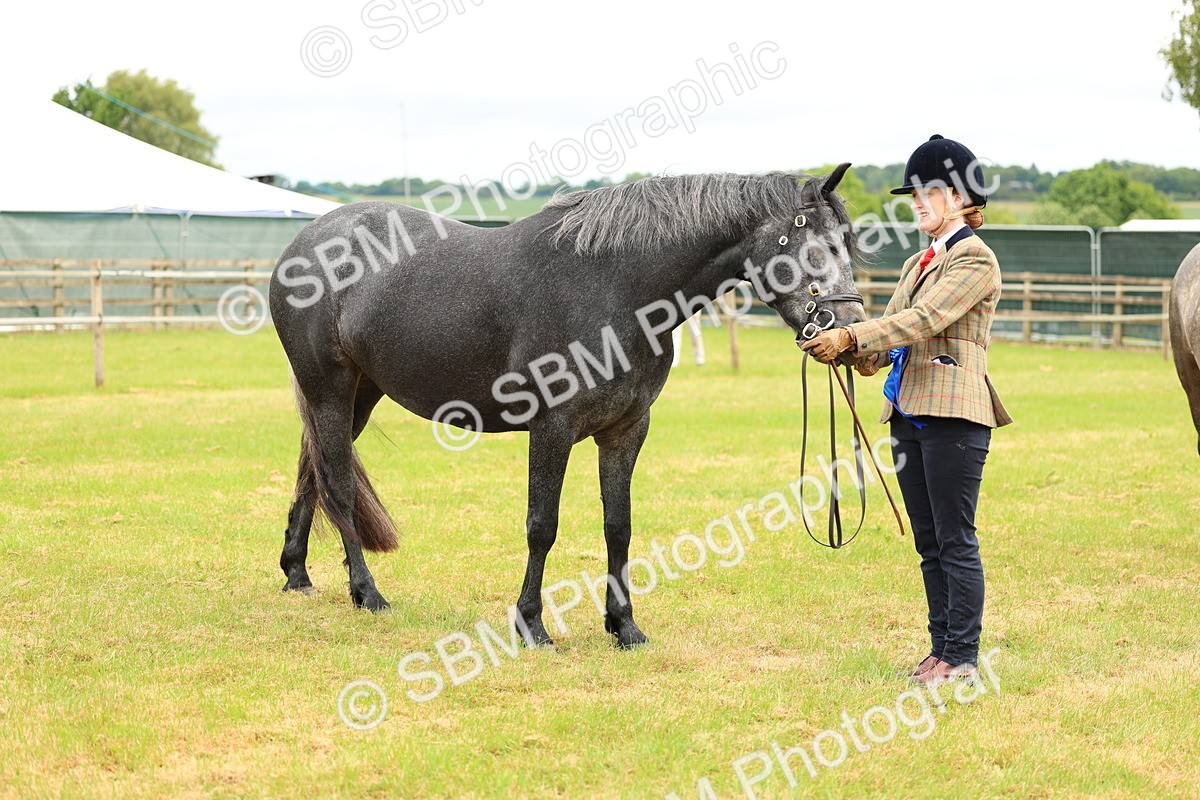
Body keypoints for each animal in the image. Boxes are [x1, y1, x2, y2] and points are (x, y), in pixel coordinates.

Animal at [268, 166, 866, 648]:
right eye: (815, 246)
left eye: (847, 242)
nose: (849, 330)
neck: (617, 288)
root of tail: (305, 241)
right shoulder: (551, 427)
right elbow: (543, 525)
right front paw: (532, 625)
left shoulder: (626, 429)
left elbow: (618, 526)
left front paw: (624, 626)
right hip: (328, 388)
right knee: (338, 483)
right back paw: (366, 593)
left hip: (360, 394)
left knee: (312, 470)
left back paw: (297, 573)